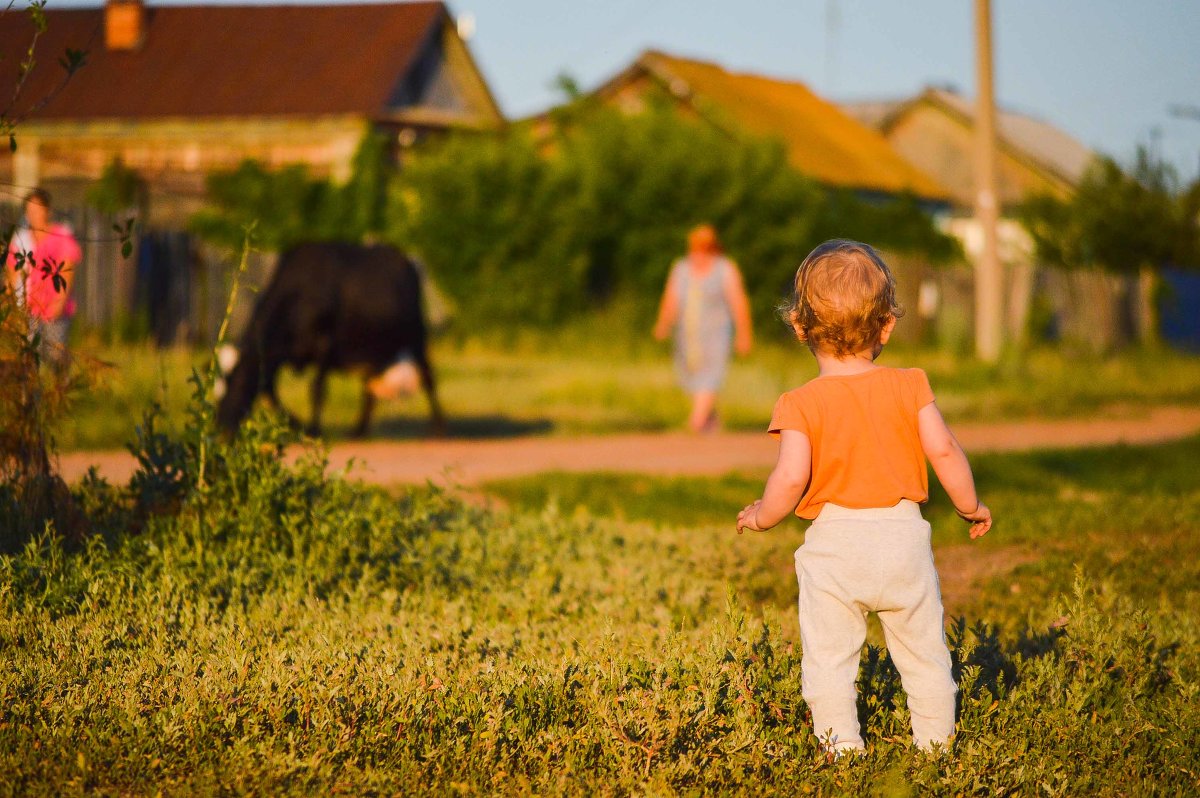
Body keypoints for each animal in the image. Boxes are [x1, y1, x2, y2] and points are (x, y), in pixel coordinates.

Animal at [216, 242, 446, 439]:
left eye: (236, 384)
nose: (221, 427)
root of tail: (406, 259)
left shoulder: (325, 342)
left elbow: (316, 390)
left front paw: (313, 429)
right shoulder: (278, 355)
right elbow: (270, 390)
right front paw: (297, 424)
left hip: (416, 336)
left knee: (428, 378)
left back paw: (437, 429)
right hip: (373, 348)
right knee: (369, 391)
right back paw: (358, 431)